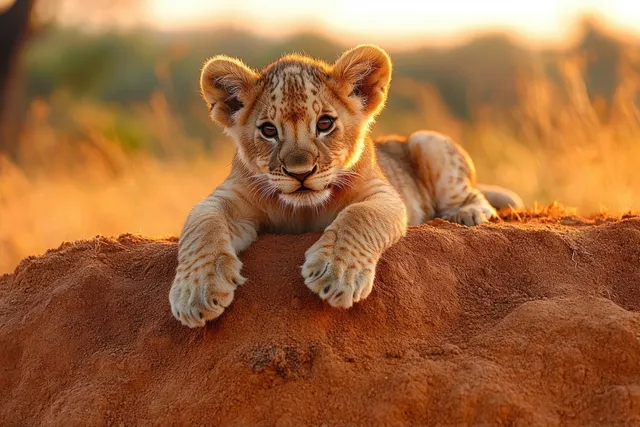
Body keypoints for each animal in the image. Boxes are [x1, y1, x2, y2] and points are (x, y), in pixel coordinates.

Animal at [169, 44, 523, 328]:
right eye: (268, 130)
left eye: (325, 124)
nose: (300, 172)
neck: (303, 211)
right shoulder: (227, 197)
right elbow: (202, 225)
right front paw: (196, 291)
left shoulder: (384, 196)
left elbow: (358, 217)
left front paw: (336, 274)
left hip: (427, 140)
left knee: (473, 194)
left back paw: (468, 213)